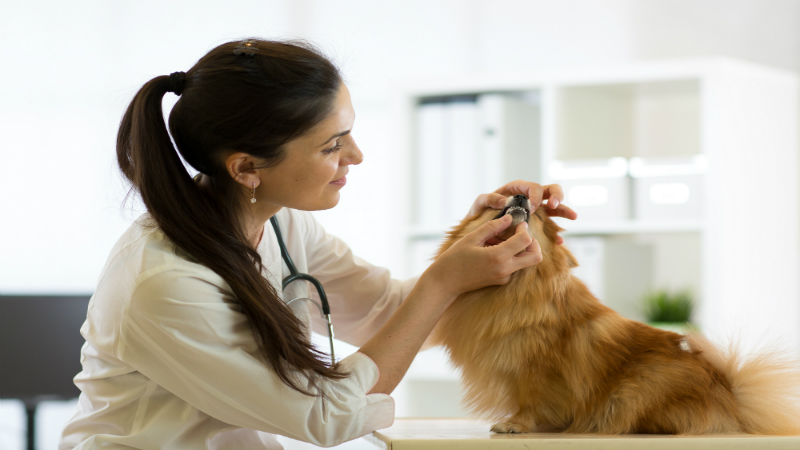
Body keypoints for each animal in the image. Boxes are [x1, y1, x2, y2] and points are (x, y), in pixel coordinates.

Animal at [432, 195, 800, 434]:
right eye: (496, 205)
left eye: (535, 215)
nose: (522, 193)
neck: (511, 288)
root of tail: (731, 395)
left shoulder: (538, 367)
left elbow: (532, 399)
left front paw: (516, 424)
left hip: (637, 387)